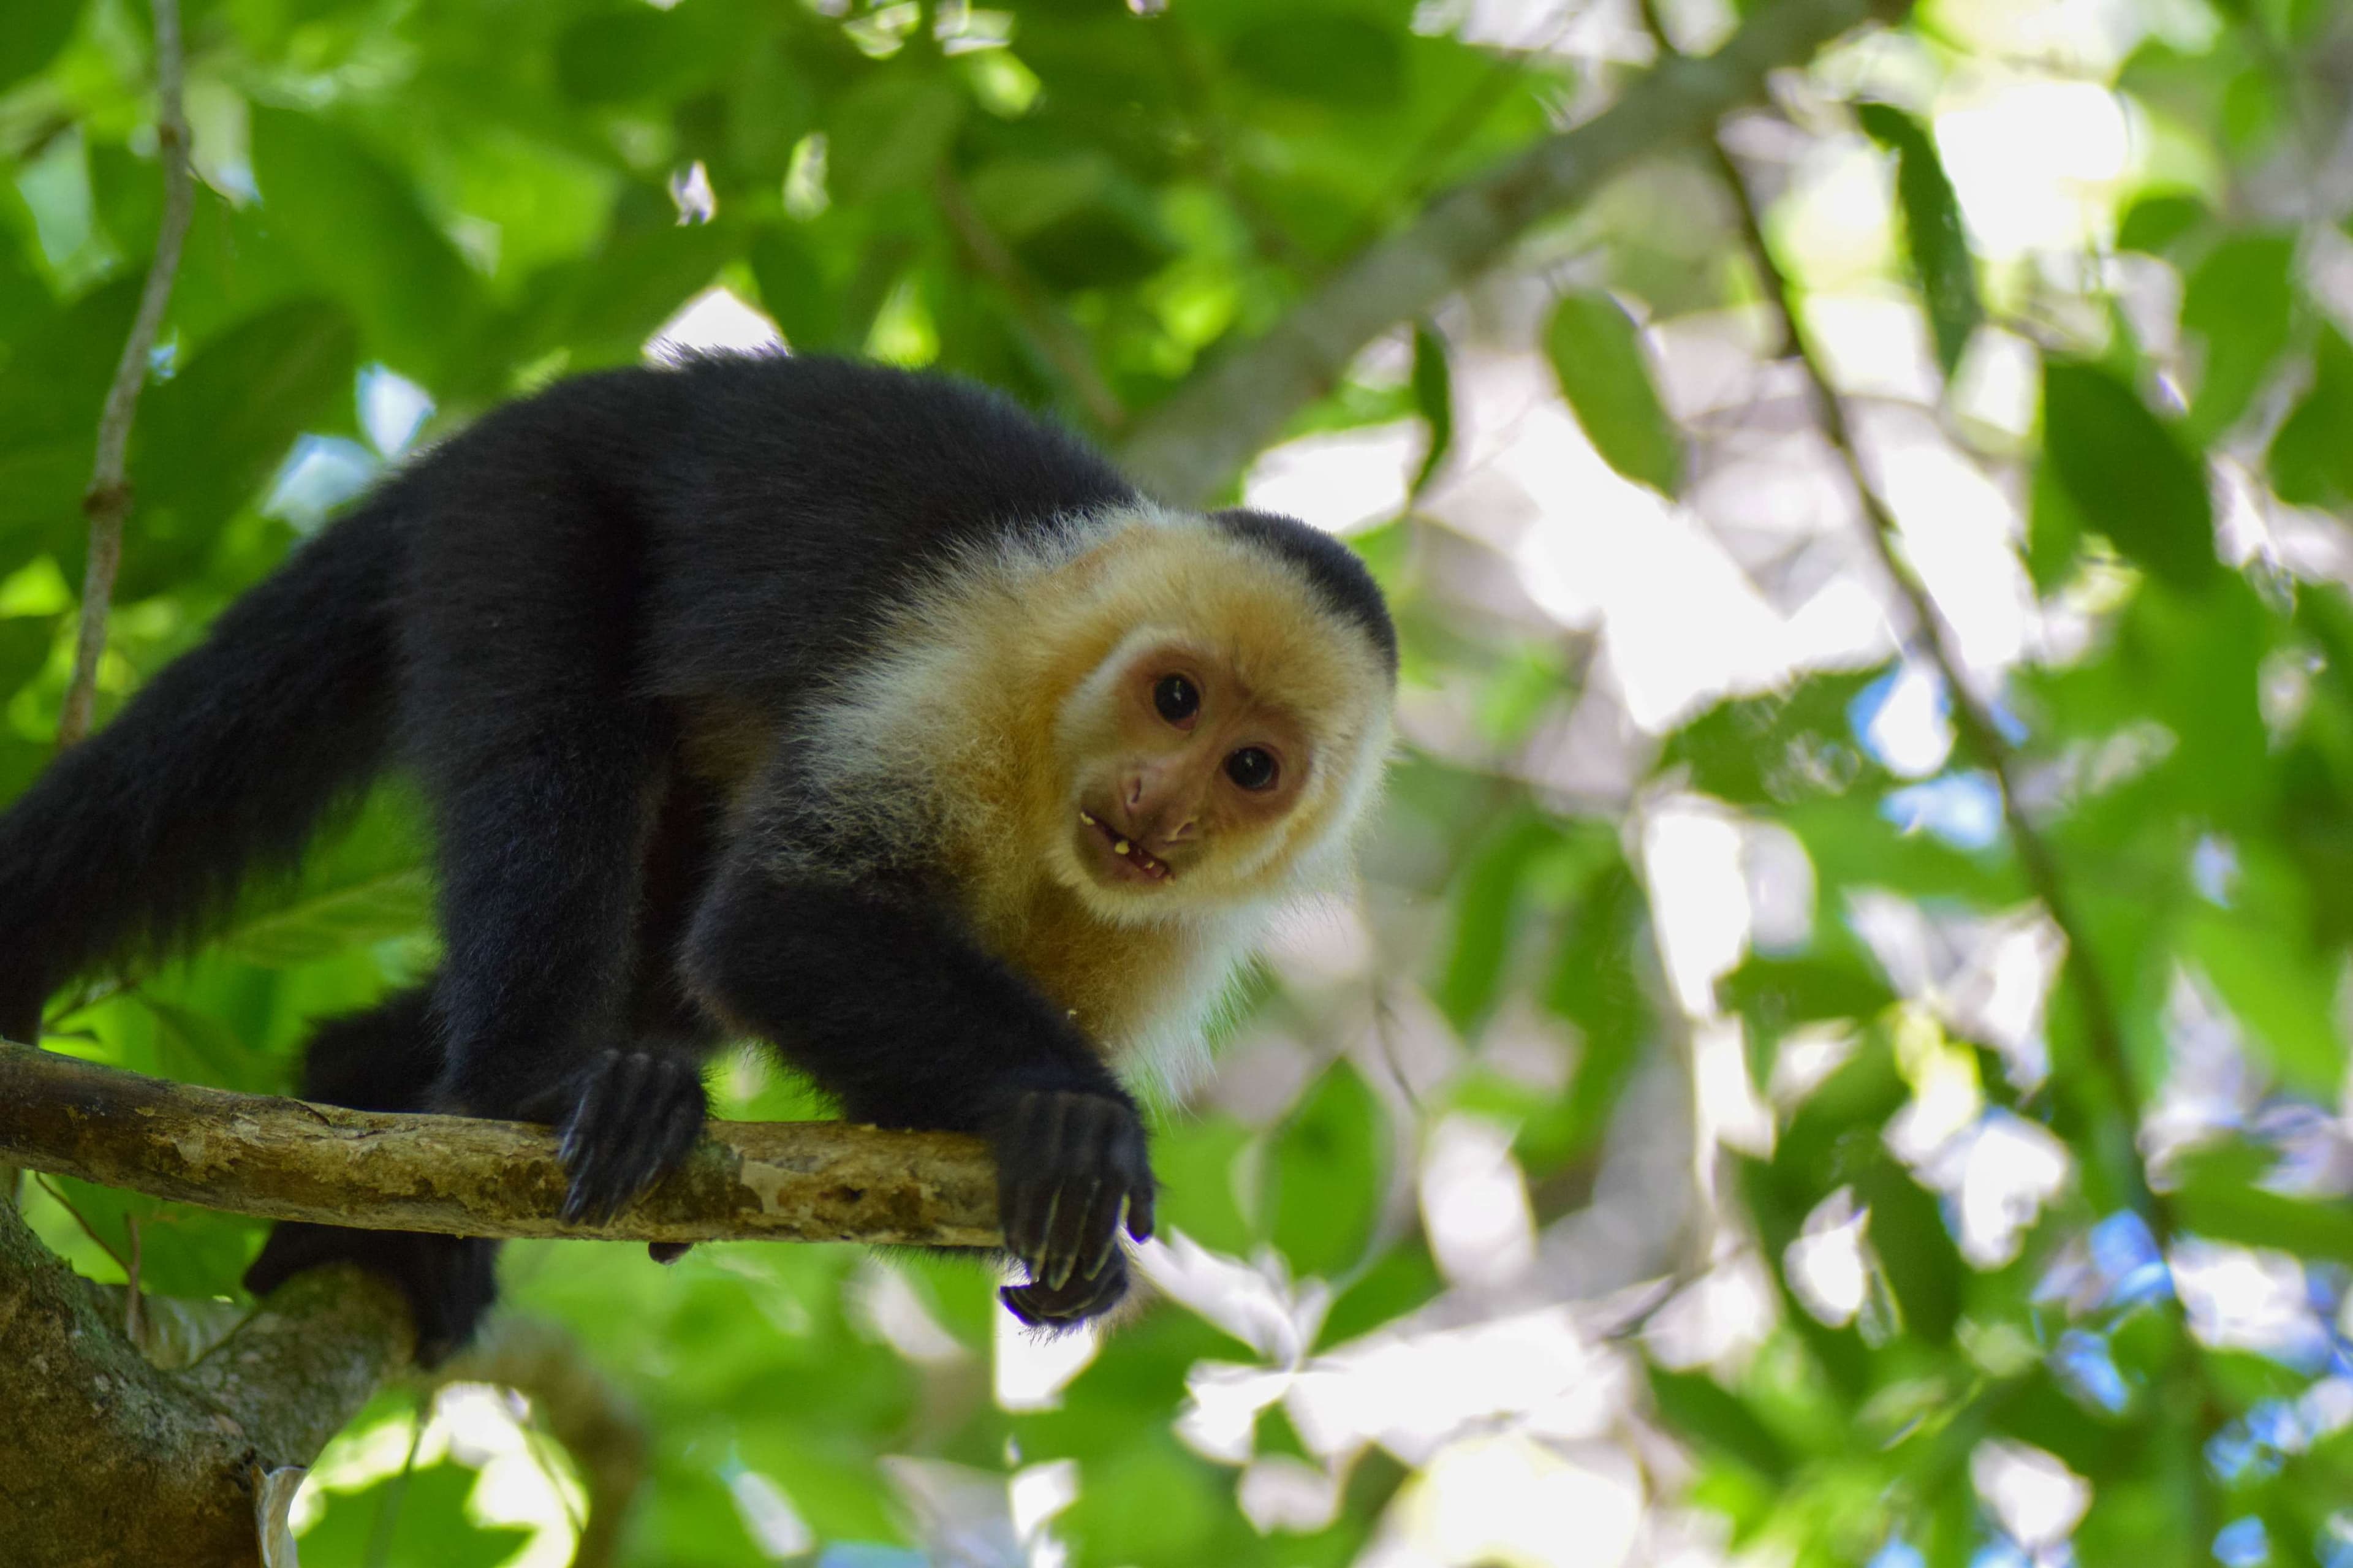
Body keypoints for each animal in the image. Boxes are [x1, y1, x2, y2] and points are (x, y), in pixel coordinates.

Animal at [0, 353, 1396, 1363]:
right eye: (1174, 697)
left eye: (1252, 767)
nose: (1164, 803)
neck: (1050, 786)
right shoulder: (960, 688)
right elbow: (775, 925)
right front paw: (1074, 1122)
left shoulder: (1168, 923)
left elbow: (890, 1119)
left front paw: (1063, 1213)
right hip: (522, 511)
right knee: (561, 763)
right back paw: (523, 1086)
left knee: (662, 959)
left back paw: (370, 1101)